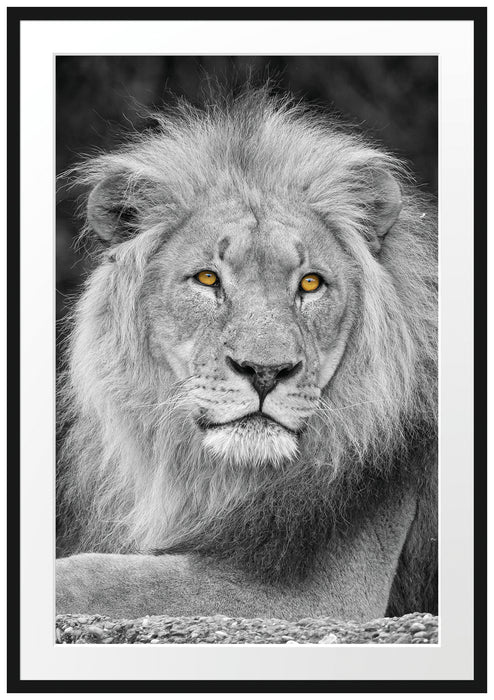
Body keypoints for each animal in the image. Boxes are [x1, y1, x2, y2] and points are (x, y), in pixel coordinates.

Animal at [56, 88, 437, 622]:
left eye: (310, 283)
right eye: (207, 278)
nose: (265, 371)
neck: (222, 478)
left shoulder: (325, 595)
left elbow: (101, 577)